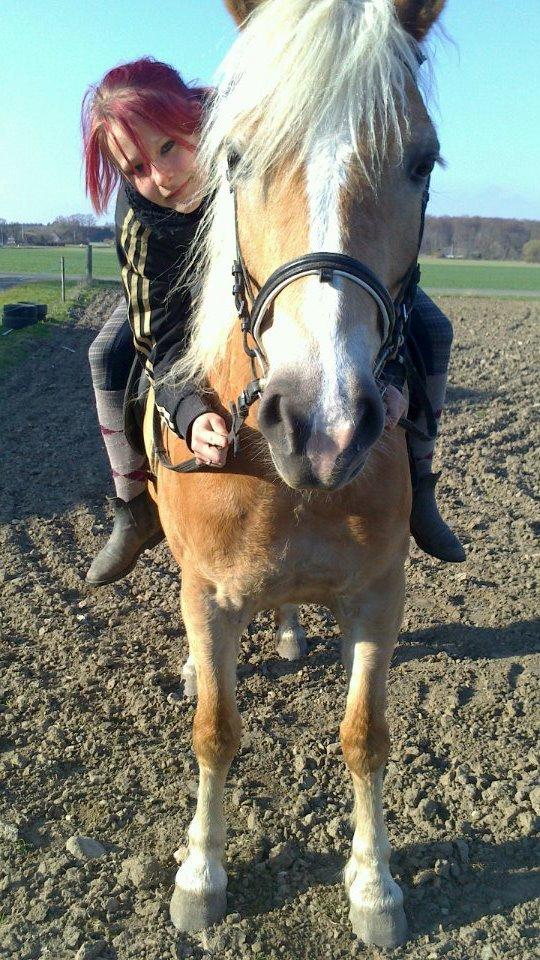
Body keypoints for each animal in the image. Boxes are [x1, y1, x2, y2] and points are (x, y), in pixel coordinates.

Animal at [143, 0, 448, 944]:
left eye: (422, 161)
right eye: (236, 157)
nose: (323, 423)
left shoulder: (379, 595)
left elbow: (366, 737)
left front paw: (374, 886)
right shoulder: (208, 595)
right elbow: (215, 730)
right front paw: (199, 876)